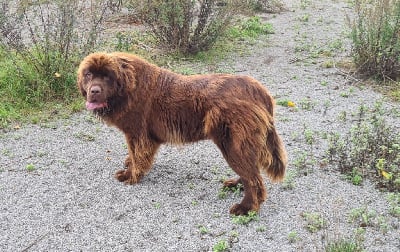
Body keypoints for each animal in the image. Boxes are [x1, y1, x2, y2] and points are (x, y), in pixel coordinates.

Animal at [76, 52, 286, 216]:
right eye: (88, 74)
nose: (94, 91)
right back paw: (237, 185)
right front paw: (129, 164)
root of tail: (259, 90)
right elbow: (134, 155)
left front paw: (130, 175)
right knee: (250, 171)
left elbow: (138, 156)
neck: (128, 88)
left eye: (107, 76)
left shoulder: (138, 133)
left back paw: (246, 207)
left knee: (253, 178)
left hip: (232, 143)